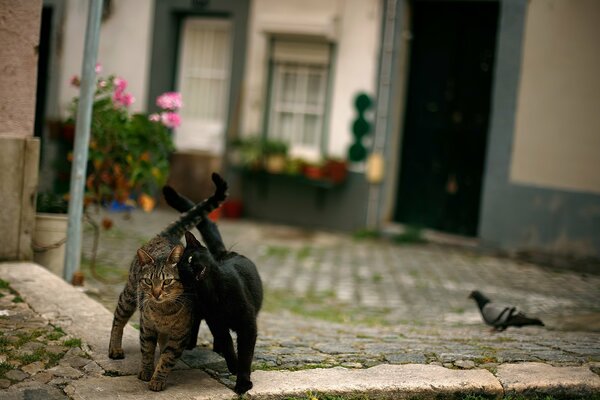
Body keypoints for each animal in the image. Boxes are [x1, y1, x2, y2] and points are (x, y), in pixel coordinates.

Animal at [108, 173, 227, 390]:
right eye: (148, 281)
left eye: (167, 282)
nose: (155, 293)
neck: (164, 313)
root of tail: (167, 236)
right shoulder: (146, 327)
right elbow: (147, 351)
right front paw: (146, 372)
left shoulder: (180, 335)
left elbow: (167, 358)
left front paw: (158, 379)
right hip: (129, 296)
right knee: (118, 319)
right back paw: (114, 348)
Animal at [162, 184, 262, 394]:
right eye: (181, 270)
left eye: (191, 259)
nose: (191, 269)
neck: (214, 293)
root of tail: (224, 253)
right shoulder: (217, 322)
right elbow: (229, 344)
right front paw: (233, 365)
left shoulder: (247, 325)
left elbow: (246, 355)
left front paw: (242, 383)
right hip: (200, 311)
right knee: (197, 324)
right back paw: (193, 344)